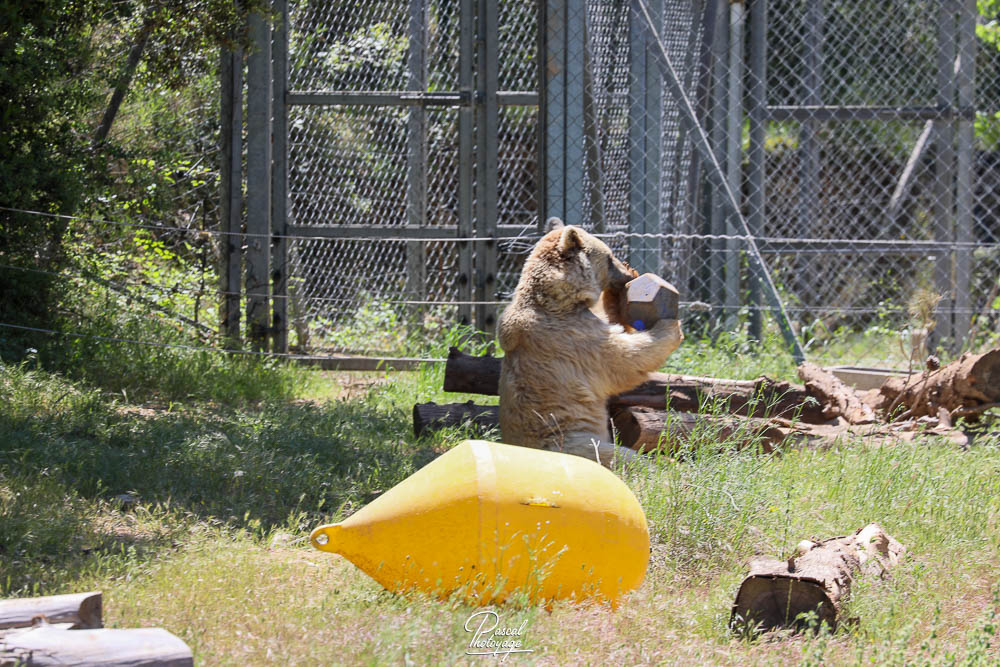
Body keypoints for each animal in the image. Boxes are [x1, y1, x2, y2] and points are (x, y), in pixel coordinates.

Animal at [497, 219, 684, 468]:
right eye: (609, 257)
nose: (626, 274)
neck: (555, 299)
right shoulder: (570, 336)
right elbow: (622, 359)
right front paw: (671, 326)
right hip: (573, 443)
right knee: (620, 456)